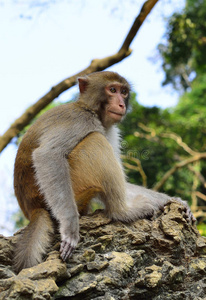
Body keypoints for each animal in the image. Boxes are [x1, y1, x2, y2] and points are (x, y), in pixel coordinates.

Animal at [12, 71, 195, 274]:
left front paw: (173, 200)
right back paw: (122, 212)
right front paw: (70, 227)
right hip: (74, 189)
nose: (121, 104)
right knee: (95, 140)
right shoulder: (80, 120)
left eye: (123, 92)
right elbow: (48, 155)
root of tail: (33, 208)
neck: (91, 110)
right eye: (112, 90)